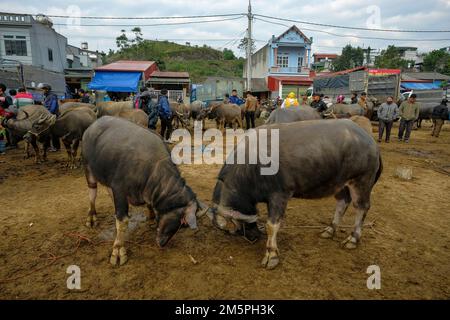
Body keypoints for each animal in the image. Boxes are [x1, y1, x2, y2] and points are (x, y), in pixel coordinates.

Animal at [81, 116, 207, 266]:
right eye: (183, 222)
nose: (162, 243)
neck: (151, 170)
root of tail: (92, 126)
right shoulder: (119, 190)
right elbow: (122, 221)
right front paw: (118, 250)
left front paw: (152, 217)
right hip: (88, 167)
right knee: (92, 192)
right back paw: (91, 217)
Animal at [209, 120, 382, 270]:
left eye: (236, 225)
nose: (254, 236)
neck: (250, 166)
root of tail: (370, 141)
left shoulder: (279, 195)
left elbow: (272, 225)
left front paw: (271, 254)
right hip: (341, 183)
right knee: (342, 203)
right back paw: (330, 230)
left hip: (361, 181)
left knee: (361, 207)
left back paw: (353, 238)